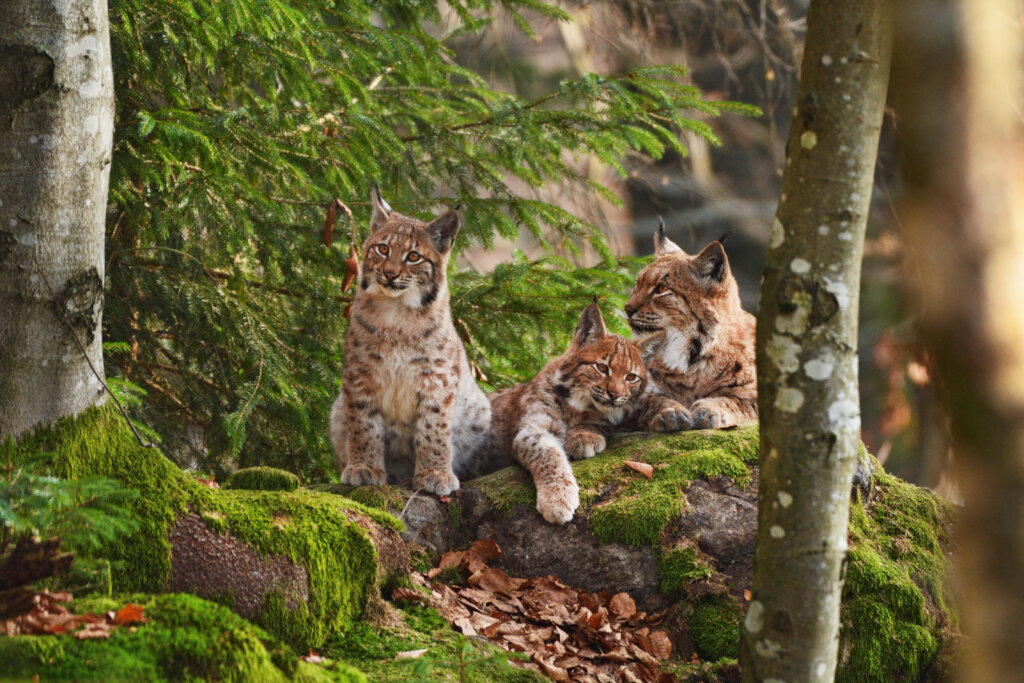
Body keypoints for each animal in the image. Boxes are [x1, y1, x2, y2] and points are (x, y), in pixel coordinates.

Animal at [327, 187, 487, 493]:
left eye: (413, 256)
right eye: (383, 249)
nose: (390, 274)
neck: (397, 311)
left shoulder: (436, 376)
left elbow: (434, 427)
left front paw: (435, 472)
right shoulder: (360, 373)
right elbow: (364, 425)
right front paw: (365, 467)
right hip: (337, 408)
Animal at [618, 222, 757, 430]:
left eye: (661, 289)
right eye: (637, 285)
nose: (627, 309)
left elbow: (734, 400)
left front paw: (710, 408)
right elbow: (650, 400)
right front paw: (670, 411)